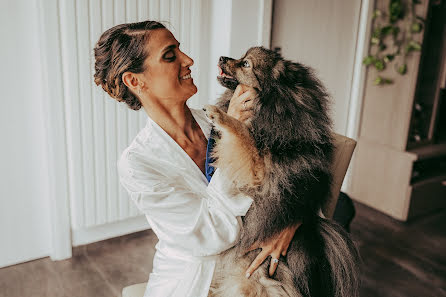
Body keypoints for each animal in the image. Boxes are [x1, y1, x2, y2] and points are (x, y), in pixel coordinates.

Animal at [204, 46, 360, 296]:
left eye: (245, 64)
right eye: (241, 57)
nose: (221, 57)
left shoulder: (258, 170)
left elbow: (243, 134)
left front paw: (220, 115)